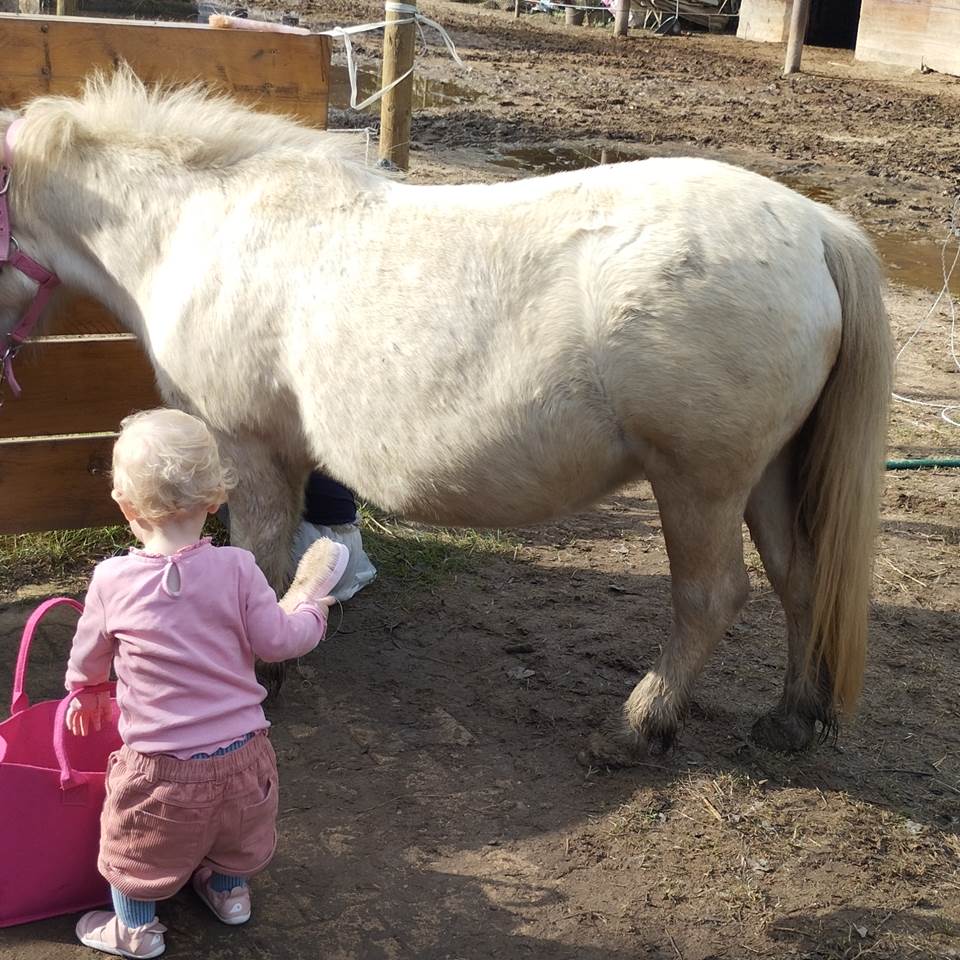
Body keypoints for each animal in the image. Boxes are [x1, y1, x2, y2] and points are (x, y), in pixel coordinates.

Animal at [0, 71, 892, 762]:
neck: (200, 225)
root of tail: (818, 229)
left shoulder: (246, 448)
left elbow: (255, 558)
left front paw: (258, 676)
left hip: (699, 484)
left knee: (711, 600)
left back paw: (636, 728)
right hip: (765, 474)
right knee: (801, 580)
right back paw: (790, 718)